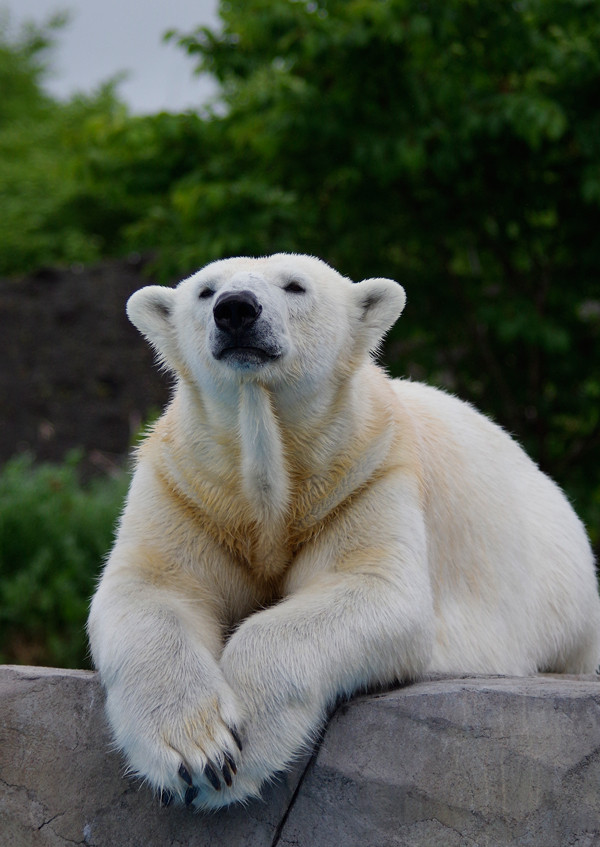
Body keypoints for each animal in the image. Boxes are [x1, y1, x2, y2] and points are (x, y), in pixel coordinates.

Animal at [88, 252, 600, 808]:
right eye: (205, 290)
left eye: (295, 285)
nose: (236, 310)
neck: (268, 483)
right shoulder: (190, 490)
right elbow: (154, 589)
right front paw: (198, 753)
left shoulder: (367, 474)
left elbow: (374, 587)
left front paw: (245, 747)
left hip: (565, 594)